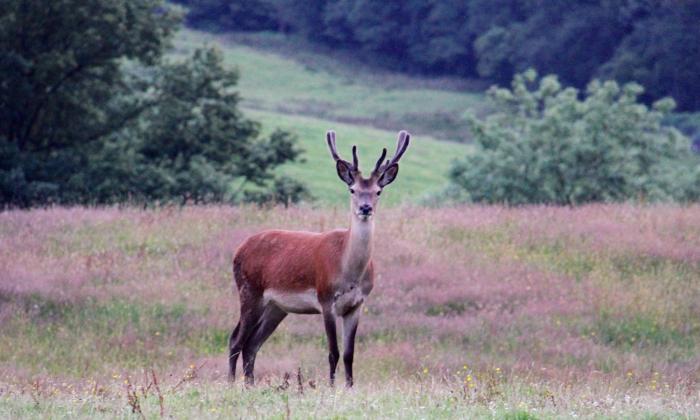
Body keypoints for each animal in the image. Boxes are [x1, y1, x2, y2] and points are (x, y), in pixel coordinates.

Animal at [227, 129, 408, 388]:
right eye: (352, 189)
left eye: (378, 191)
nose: (365, 208)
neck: (349, 272)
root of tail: (239, 249)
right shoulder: (326, 299)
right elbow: (333, 351)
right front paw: (331, 387)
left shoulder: (358, 304)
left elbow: (349, 353)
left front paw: (349, 387)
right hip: (249, 290)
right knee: (236, 339)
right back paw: (232, 382)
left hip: (276, 307)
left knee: (252, 344)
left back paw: (249, 384)